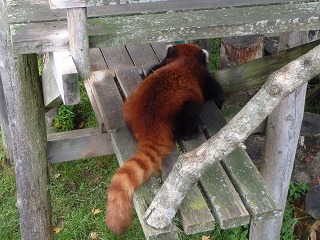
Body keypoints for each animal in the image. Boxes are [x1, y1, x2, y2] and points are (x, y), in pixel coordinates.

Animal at [106, 43, 224, 234]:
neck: (184, 59)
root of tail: (147, 126)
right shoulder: (203, 78)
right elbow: (216, 91)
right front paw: (220, 102)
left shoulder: (158, 66)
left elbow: (151, 69)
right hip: (184, 110)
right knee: (191, 110)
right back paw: (195, 130)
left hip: (128, 107)